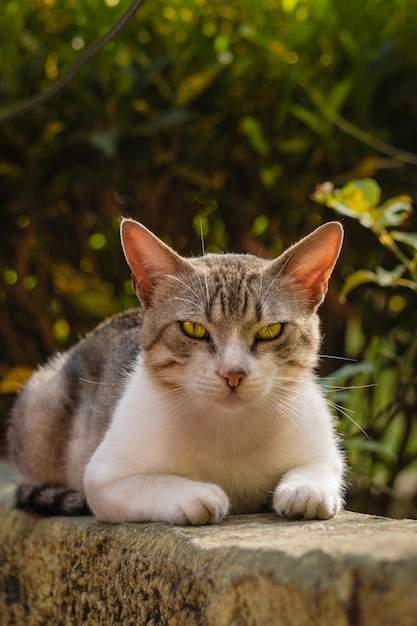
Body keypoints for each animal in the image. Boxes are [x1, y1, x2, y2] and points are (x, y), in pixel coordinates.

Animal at [7, 217, 344, 524]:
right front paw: (196, 494)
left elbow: (317, 468)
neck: (229, 427)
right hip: (43, 404)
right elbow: (154, 483)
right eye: (193, 329)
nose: (233, 373)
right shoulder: (103, 478)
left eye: (270, 331)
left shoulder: (324, 449)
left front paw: (304, 490)